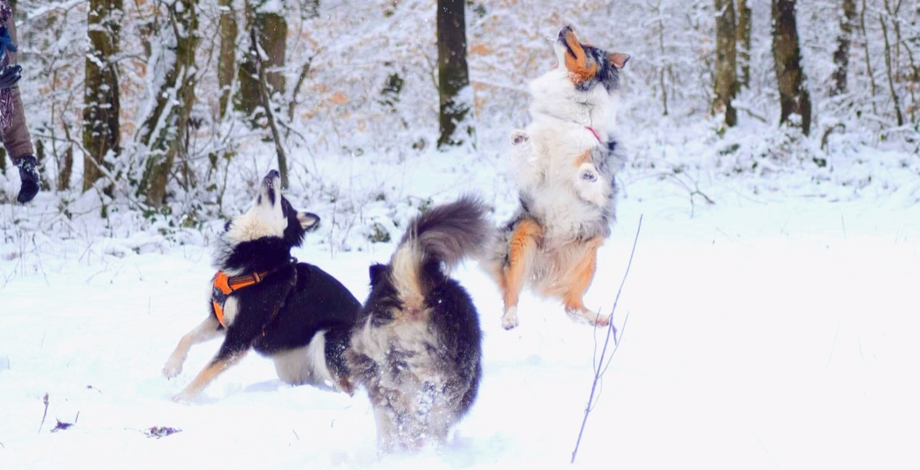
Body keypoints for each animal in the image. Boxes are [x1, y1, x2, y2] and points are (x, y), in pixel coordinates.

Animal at [164, 171, 358, 402]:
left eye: (284, 204)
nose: (274, 171)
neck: (257, 260)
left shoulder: (241, 334)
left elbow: (208, 370)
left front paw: (181, 398)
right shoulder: (222, 321)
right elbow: (187, 336)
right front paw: (172, 366)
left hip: (326, 342)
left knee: (349, 388)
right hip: (291, 366)